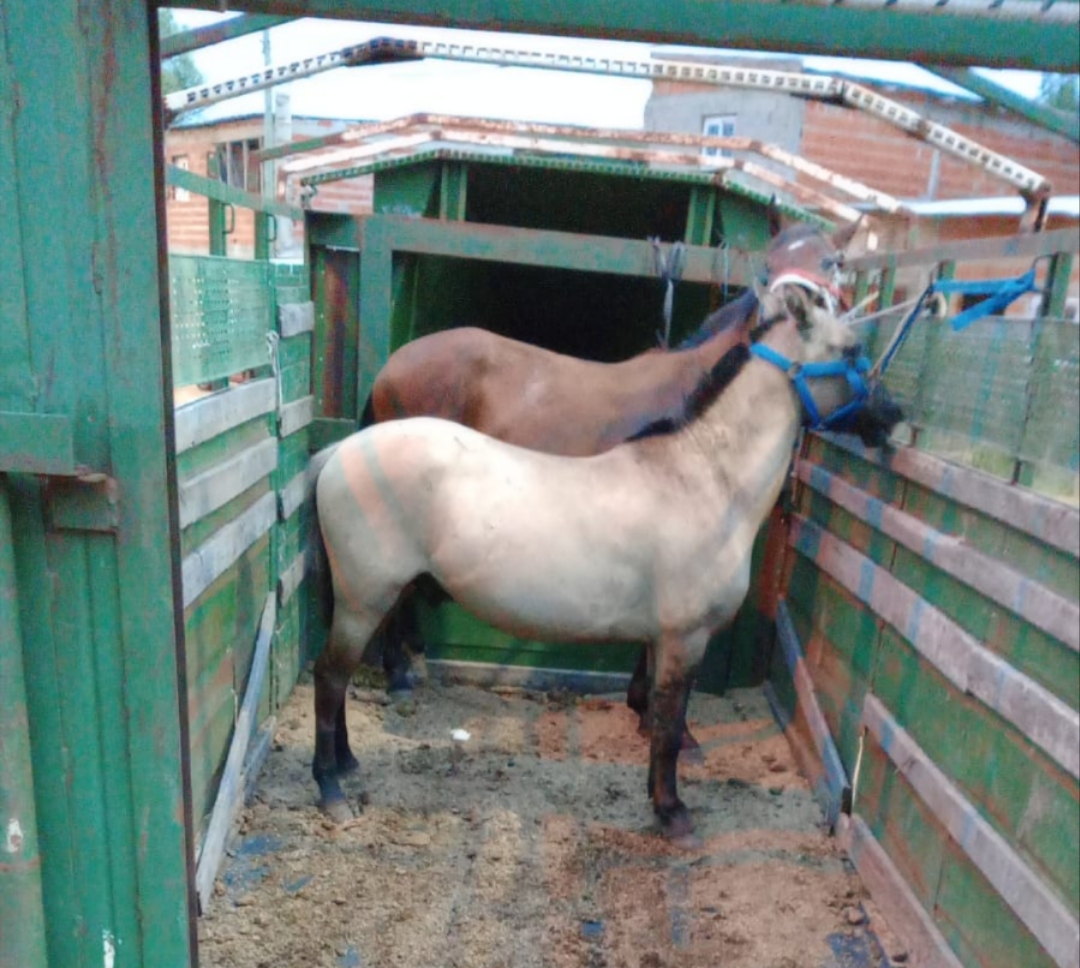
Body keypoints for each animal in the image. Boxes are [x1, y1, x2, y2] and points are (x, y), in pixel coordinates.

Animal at [311, 284, 902, 845]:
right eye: (851, 351)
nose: (895, 416)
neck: (706, 480)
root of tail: (339, 453)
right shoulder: (685, 638)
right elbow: (669, 727)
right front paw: (673, 813)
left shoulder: (661, 638)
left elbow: (660, 718)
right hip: (365, 599)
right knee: (330, 676)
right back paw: (331, 787)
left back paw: (348, 762)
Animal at [363, 217, 861, 742]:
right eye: (770, 262)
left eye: (831, 261)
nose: (788, 310)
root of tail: (393, 365)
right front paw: (663, 722)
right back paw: (398, 675)